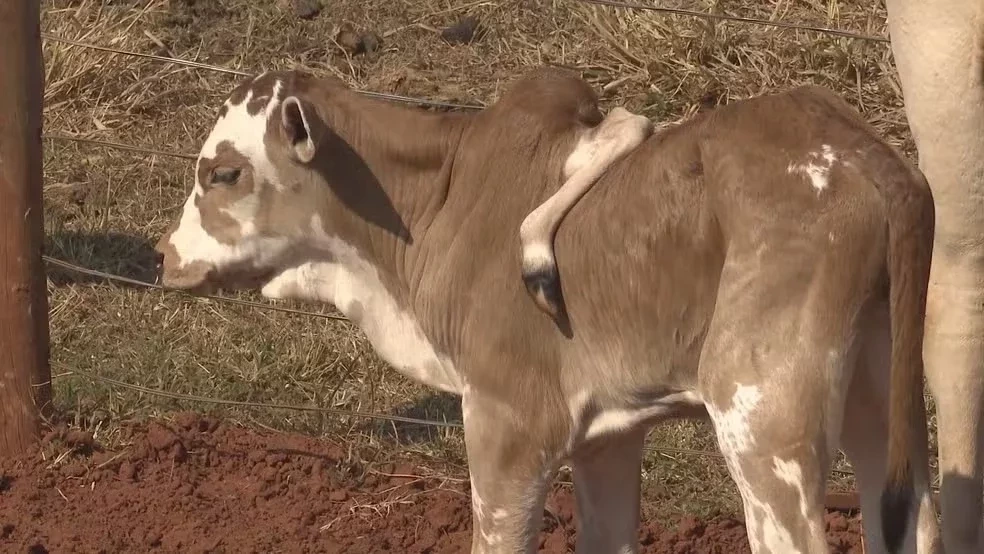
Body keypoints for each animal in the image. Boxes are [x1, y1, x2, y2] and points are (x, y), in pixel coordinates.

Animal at [154, 69, 936, 552]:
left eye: (223, 172)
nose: (164, 257)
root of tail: (859, 149)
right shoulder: (607, 435)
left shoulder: (508, 422)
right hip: (876, 398)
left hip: (764, 423)